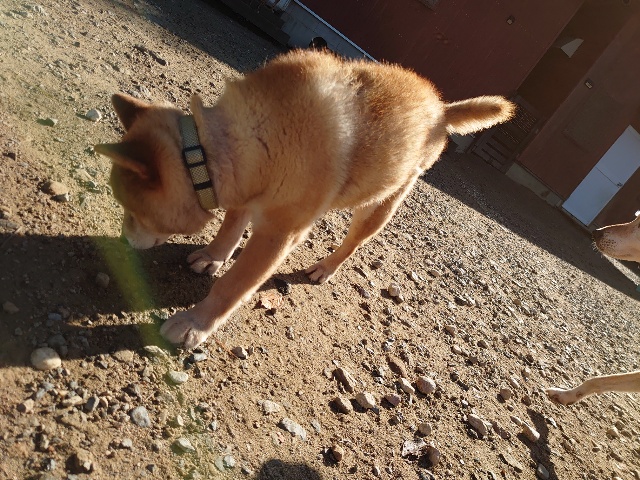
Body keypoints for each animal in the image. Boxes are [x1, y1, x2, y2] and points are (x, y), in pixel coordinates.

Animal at [95, 49, 514, 349]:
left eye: (132, 212)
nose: (123, 241)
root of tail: (441, 109)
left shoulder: (276, 235)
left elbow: (232, 287)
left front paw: (193, 324)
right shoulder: (244, 192)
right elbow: (229, 229)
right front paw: (213, 256)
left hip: (377, 207)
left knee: (352, 243)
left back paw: (325, 267)